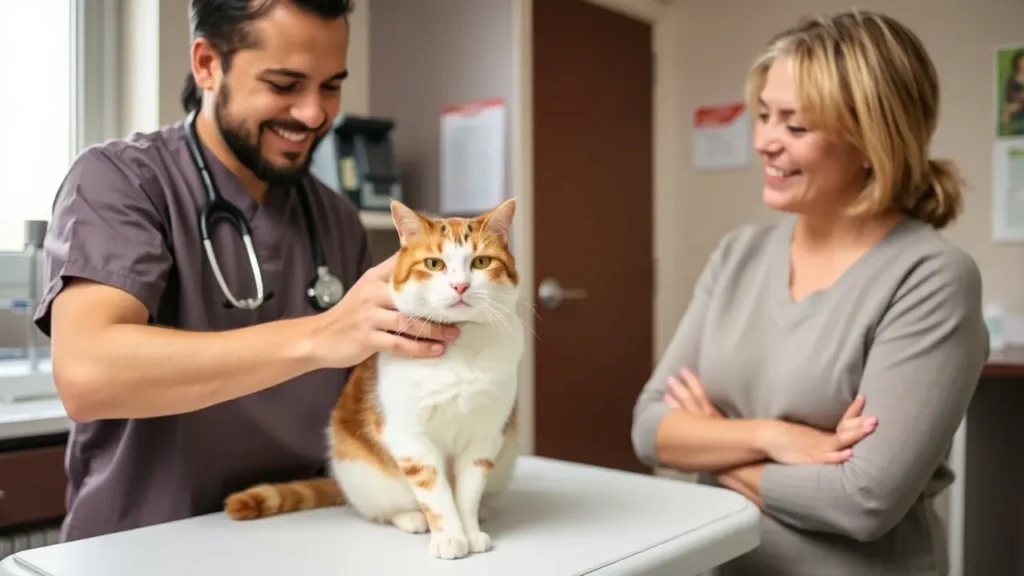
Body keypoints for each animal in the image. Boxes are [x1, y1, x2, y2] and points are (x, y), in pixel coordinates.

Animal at [225, 198, 528, 561]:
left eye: (481, 262)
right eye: (434, 263)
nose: (460, 286)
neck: (462, 347)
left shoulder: (485, 436)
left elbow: (467, 492)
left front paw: (470, 530)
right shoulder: (411, 438)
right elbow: (437, 494)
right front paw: (450, 537)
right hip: (362, 470)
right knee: (383, 510)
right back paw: (411, 517)